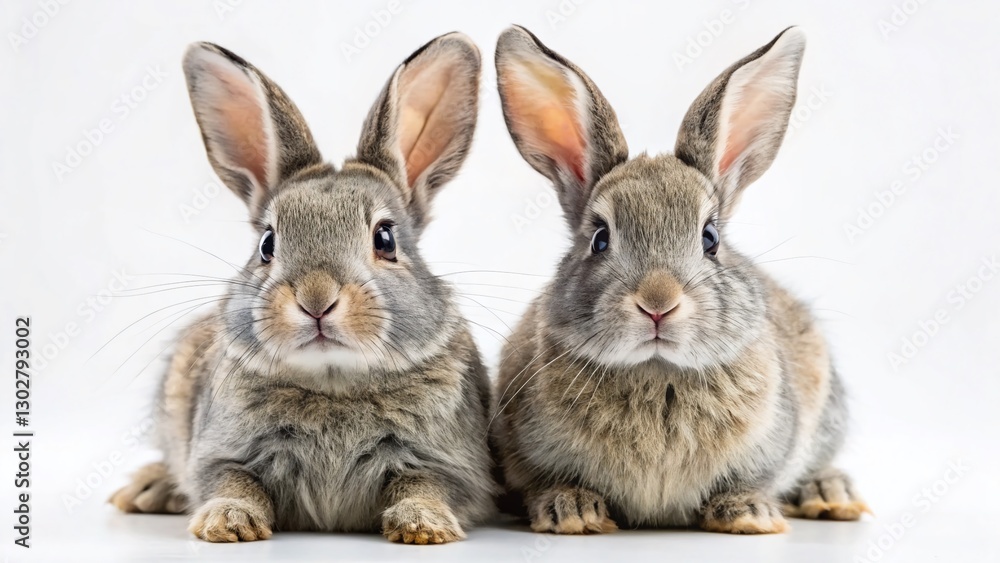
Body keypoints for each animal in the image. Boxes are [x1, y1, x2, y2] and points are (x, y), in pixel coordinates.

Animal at [108, 32, 497, 544]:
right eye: (267, 244)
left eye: (385, 239)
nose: (316, 299)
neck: (332, 381)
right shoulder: (220, 453)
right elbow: (231, 481)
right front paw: (226, 523)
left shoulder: (450, 463)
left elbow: (426, 485)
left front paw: (423, 527)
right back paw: (147, 490)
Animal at [491, 25, 869, 535]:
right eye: (600, 239)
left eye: (710, 238)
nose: (658, 302)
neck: (658, 370)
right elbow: (544, 482)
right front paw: (571, 512)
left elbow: (752, 480)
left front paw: (747, 515)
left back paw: (831, 495)